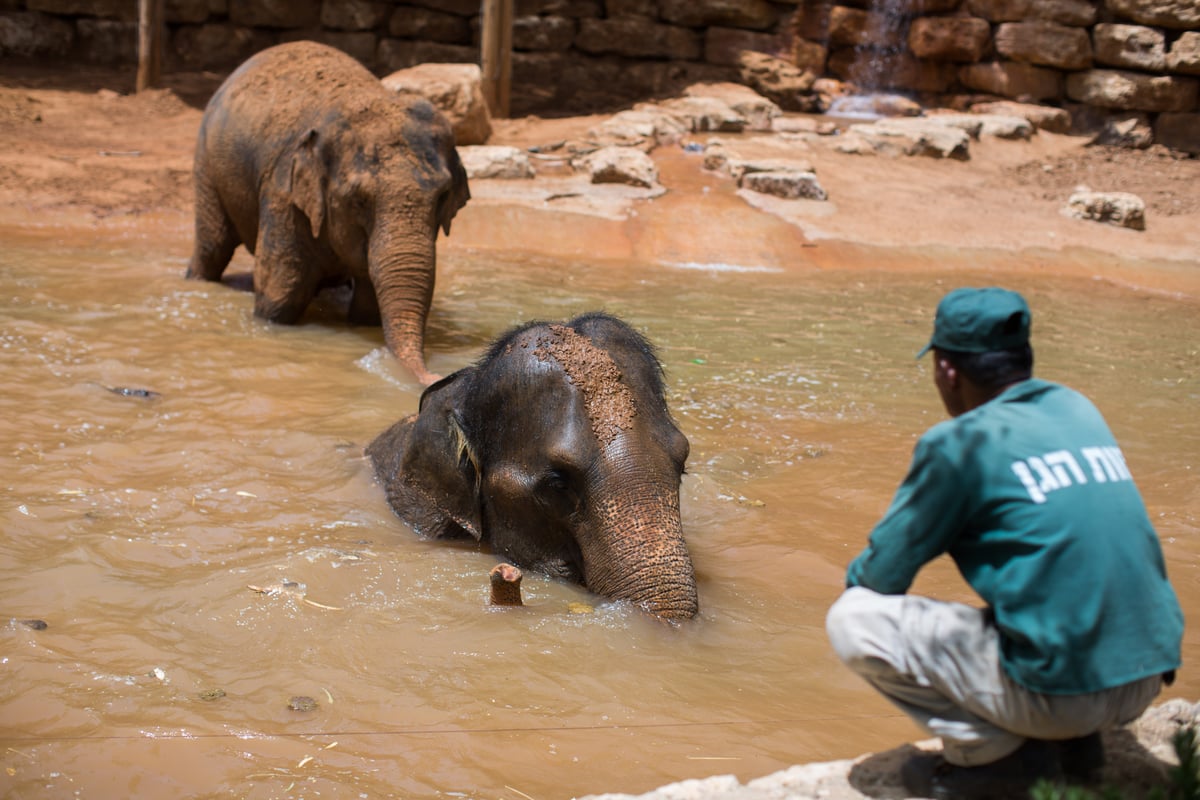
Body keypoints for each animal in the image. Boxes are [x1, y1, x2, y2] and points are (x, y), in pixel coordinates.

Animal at [184, 42, 470, 386]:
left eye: (443, 195)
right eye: (358, 200)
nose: (436, 376)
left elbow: (367, 307)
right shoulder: (284, 193)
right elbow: (279, 295)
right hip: (206, 164)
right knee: (212, 246)